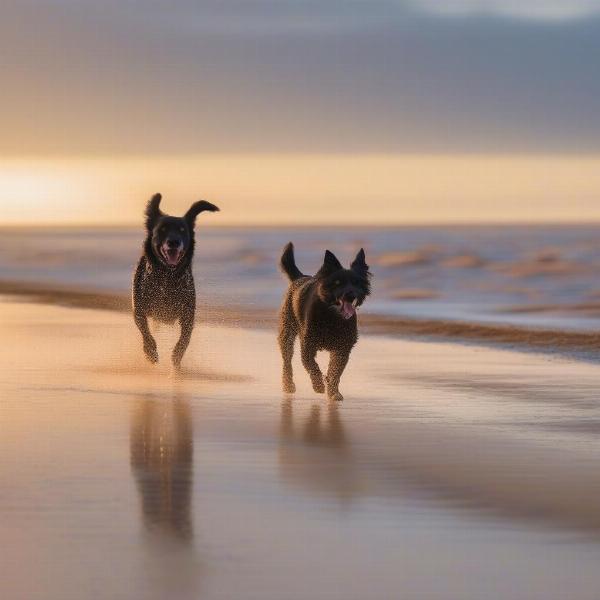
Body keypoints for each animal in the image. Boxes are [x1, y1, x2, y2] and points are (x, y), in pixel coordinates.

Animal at [132, 195, 219, 368]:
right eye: (162, 229)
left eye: (182, 230)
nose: (174, 242)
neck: (167, 277)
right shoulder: (139, 309)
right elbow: (145, 331)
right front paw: (150, 352)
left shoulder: (188, 315)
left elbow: (185, 339)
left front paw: (176, 358)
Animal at [278, 241, 370, 400]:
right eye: (338, 282)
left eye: (356, 282)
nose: (351, 295)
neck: (332, 316)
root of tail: (299, 278)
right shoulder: (307, 345)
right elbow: (311, 365)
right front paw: (318, 385)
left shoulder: (343, 348)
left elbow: (335, 372)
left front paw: (333, 392)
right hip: (287, 330)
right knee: (287, 359)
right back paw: (288, 385)